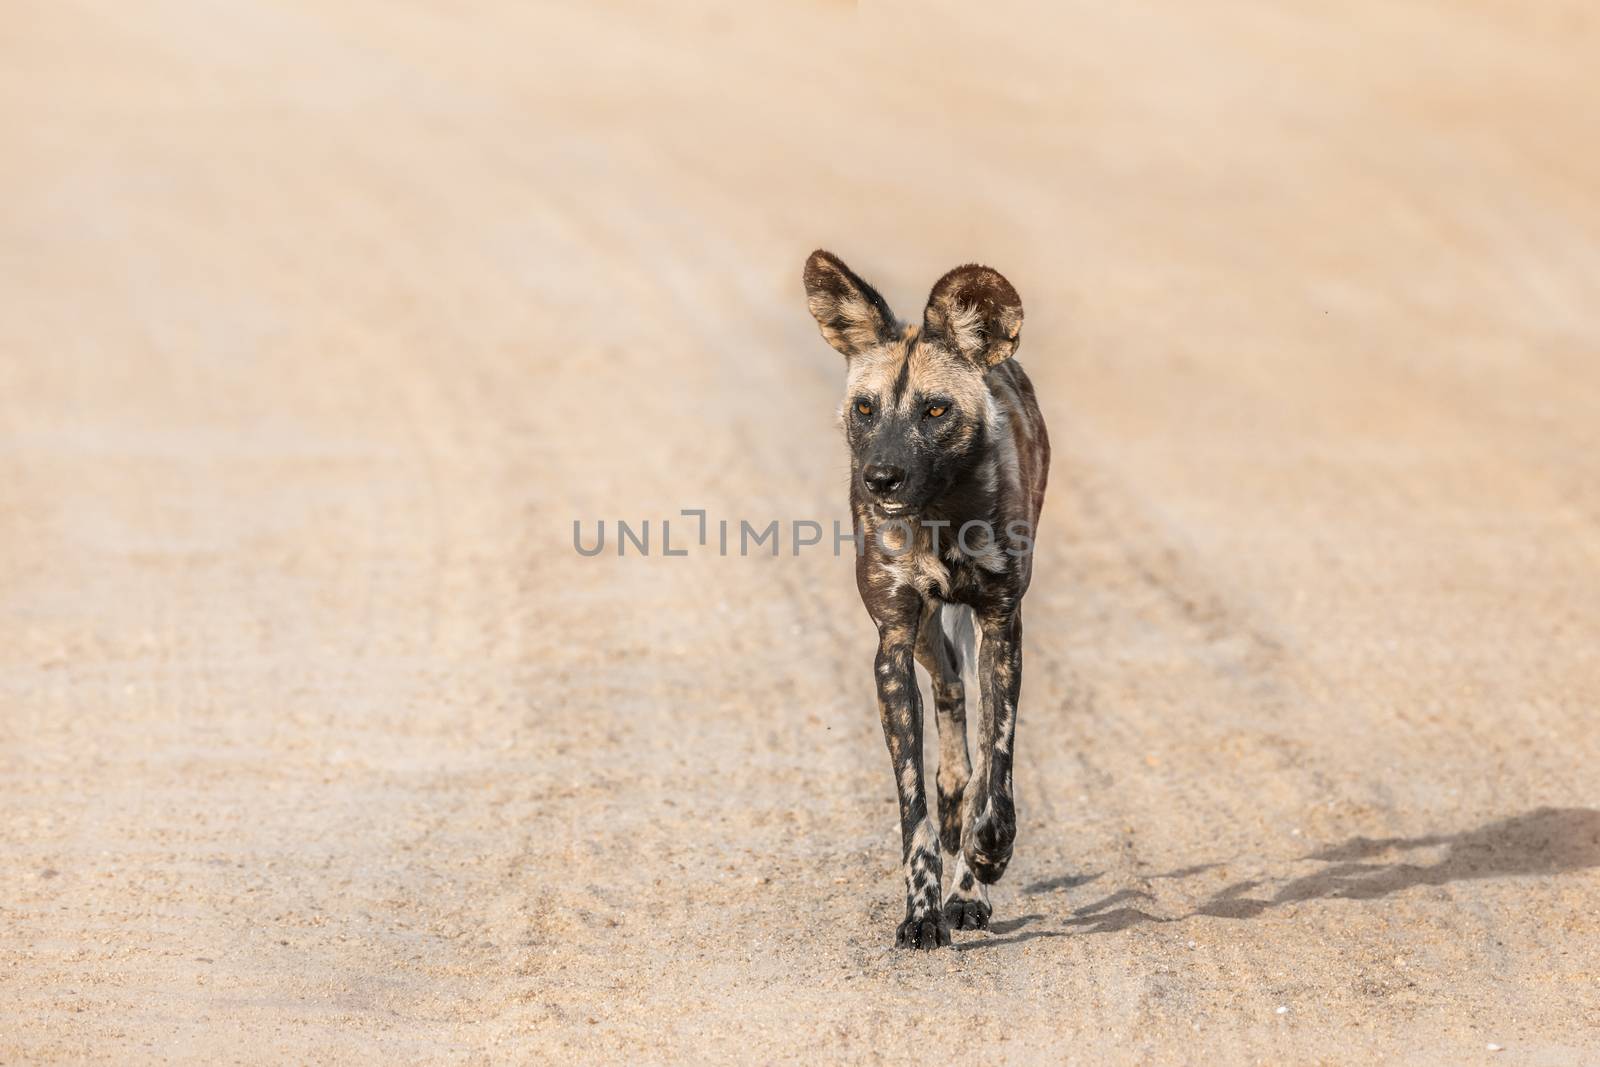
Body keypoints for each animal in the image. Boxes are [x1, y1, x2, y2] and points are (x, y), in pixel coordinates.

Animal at [800, 252, 1049, 953]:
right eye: (865, 408)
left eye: (935, 411)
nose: (880, 479)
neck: (940, 513)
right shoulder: (892, 645)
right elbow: (913, 806)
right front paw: (920, 912)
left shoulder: (1003, 626)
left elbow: (999, 771)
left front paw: (984, 864)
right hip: (925, 641)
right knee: (951, 707)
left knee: (979, 753)